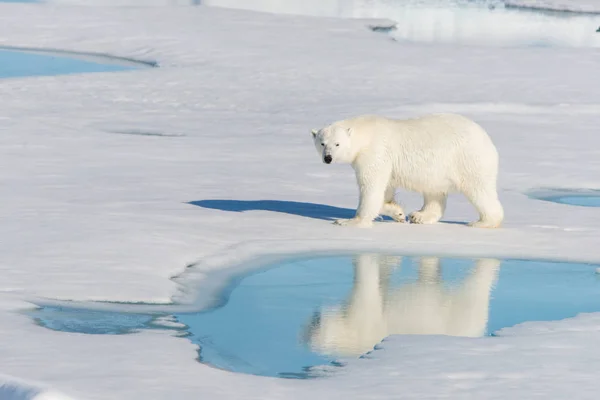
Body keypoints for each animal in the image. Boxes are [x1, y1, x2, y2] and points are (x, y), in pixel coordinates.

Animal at [312, 113, 504, 228]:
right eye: (322, 143)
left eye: (337, 143)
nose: (328, 158)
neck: (366, 132)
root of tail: (488, 140)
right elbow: (386, 189)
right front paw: (398, 213)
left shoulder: (375, 152)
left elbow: (371, 187)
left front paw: (349, 221)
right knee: (434, 192)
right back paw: (420, 216)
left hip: (468, 159)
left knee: (479, 189)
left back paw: (482, 222)